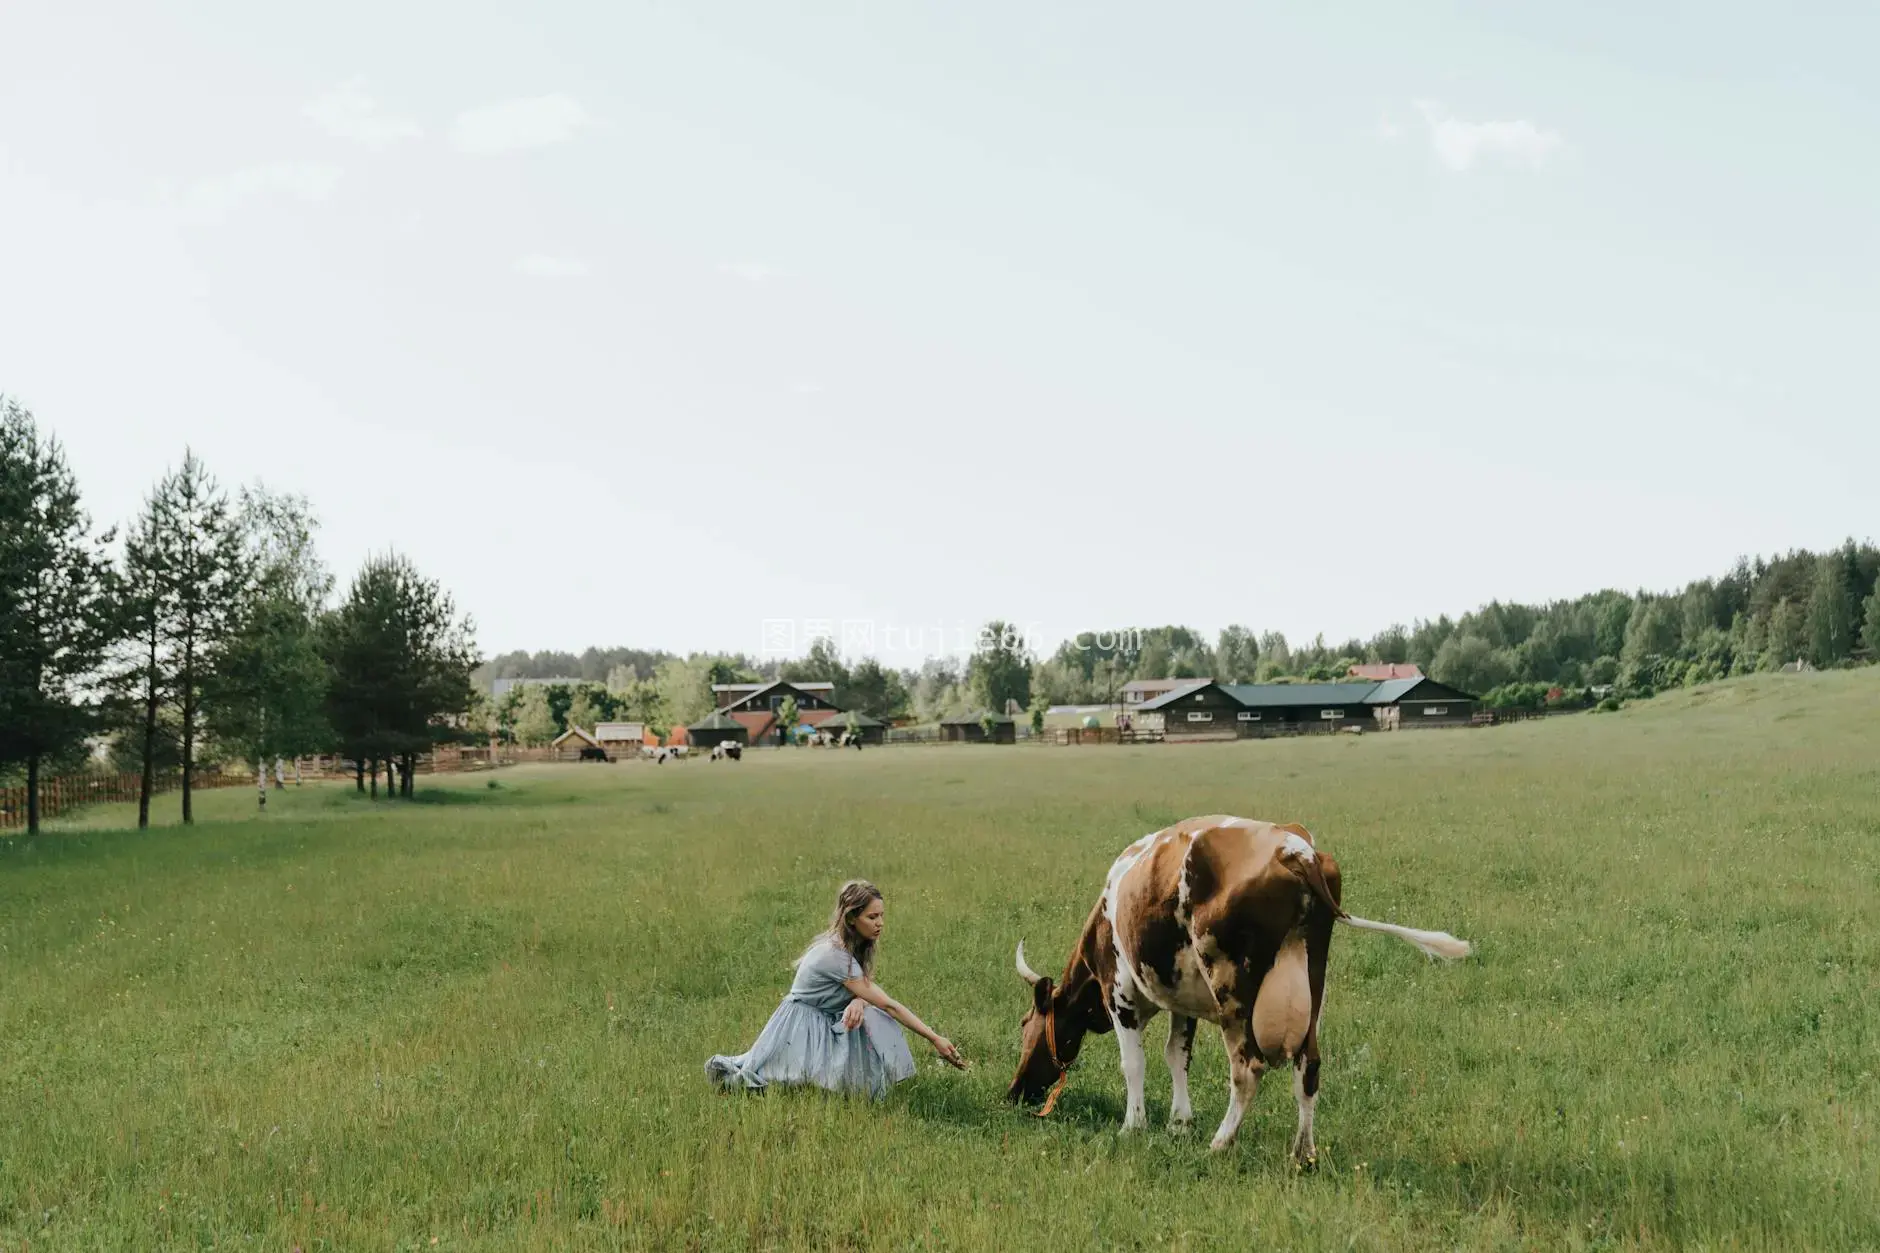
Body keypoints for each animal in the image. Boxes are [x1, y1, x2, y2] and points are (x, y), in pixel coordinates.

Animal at [1007, 816, 1473, 1158]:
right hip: (1313, 983)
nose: (1014, 1093)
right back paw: (1302, 1154)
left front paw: (1133, 1126)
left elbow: (1134, 1063)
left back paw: (1221, 1142)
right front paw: (1179, 1123)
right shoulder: (1182, 1002)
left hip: (1231, 987)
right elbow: (1176, 1056)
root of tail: (1296, 850)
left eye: (1025, 1024)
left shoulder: (1118, 991)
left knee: (1248, 1067)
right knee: (1309, 1065)